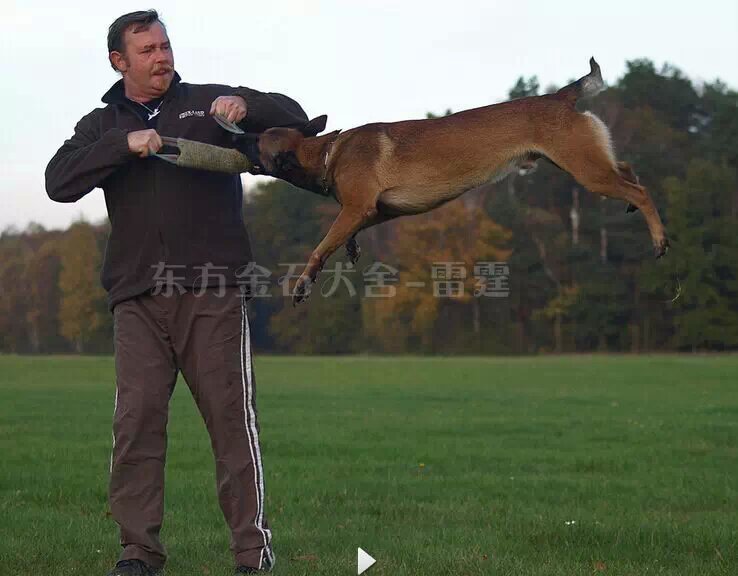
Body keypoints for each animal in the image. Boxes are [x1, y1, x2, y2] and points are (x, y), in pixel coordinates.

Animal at [230, 57, 668, 306]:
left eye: (255, 140)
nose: (234, 135)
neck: (326, 151)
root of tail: (560, 96)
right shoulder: (379, 210)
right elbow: (346, 232)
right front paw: (351, 247)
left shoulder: (359, 206)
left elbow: (320, 247)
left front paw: (303, 283)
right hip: (587, 161)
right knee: (628, 169)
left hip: (585, 169)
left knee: (641, 189)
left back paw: (660, 239)